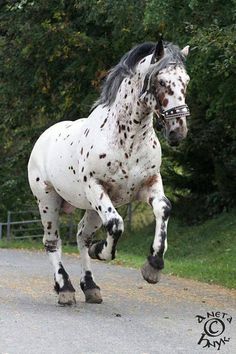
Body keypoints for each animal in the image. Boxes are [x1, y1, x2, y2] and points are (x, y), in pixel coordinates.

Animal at [28, 38, 190, 304]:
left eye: (186, 80)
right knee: (52, 242)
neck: (127, 140)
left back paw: (90, 286)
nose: (178, 130)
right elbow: (116, 224)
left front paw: (153, 265)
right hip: (48, 201)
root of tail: (44, 137)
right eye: (161, 81)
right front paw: (102, 251)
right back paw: (65, 289)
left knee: (82, 236)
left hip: (92, 209)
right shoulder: (96, 187)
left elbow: (163, 209)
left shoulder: (149, 184)